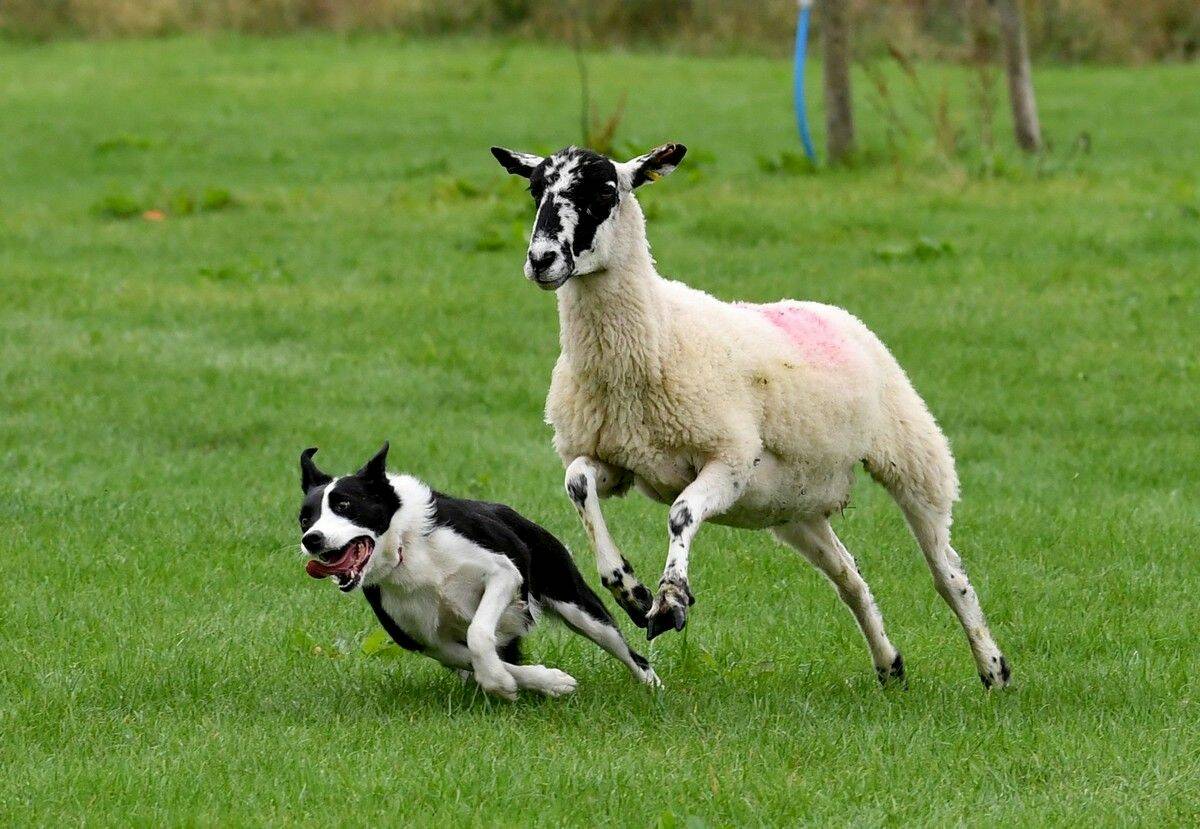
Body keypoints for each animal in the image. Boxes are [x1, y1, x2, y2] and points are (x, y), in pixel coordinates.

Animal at [296, 443, 662, 695]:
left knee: (630, 653)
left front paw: (503, 680)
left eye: (345, 505)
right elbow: (478, 657)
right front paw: (532, 682)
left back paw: (652, 687)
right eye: (304, 518)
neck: (408, 551)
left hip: (577, 604)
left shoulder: (503, 573)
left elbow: (478, 632)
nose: (311, 539)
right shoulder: (426, 641)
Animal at [492, 142, 1008, 686]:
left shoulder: (730, 460)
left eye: (607, 191)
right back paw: (890, 666)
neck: (656, 334)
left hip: (911, 452)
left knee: (947, 570)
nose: (541, 259)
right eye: (534, 190)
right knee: (849, 576)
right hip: (793, 505)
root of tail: (830, 311)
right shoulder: (621, 462)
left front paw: (671, 600)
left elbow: (681, 514)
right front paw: (630, 591)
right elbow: (578, 483)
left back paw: (993, 669)